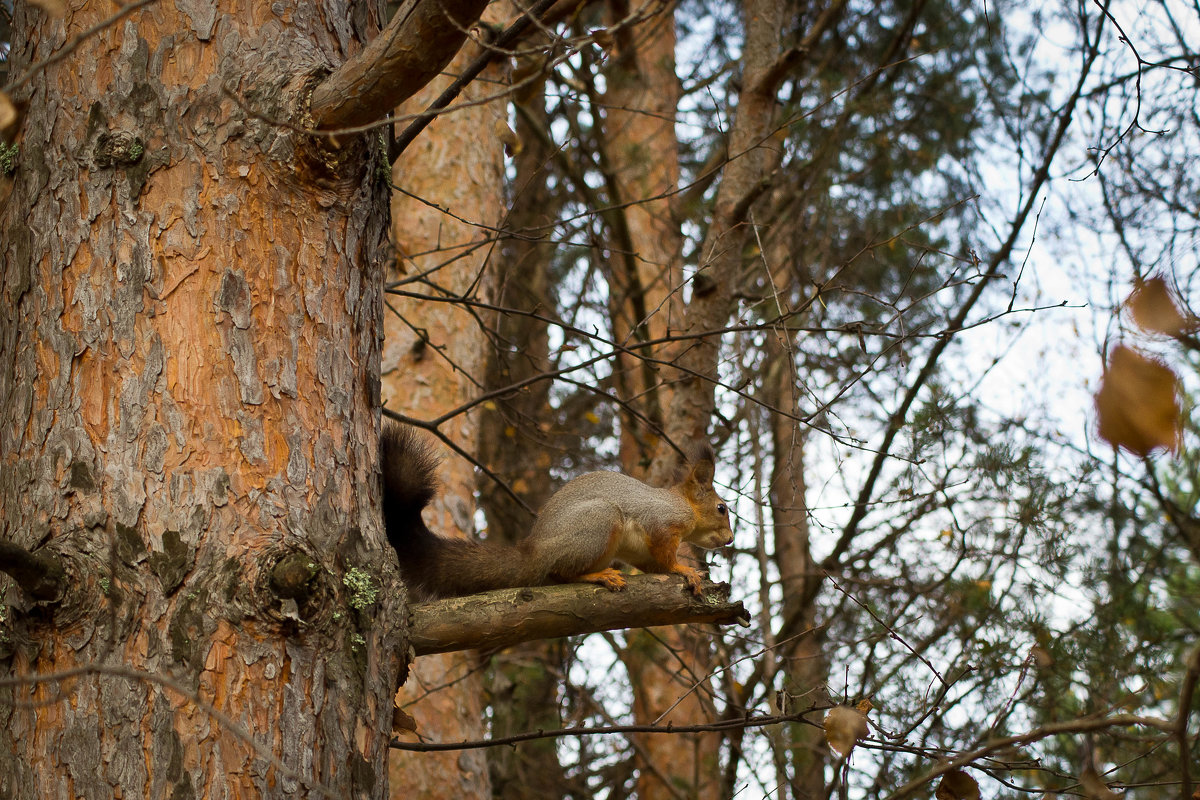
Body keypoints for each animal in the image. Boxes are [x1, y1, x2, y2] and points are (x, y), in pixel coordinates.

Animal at [384, 424, 734, 599]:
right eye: (721, 508)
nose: (730, 540)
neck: (682, 503)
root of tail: (534, 552)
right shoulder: (661, 521)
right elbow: (666, 555)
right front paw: (684, 569)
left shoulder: (643, 551)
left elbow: (654, 565)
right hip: (599, 523)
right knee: (560, 573)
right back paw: (598, 576)